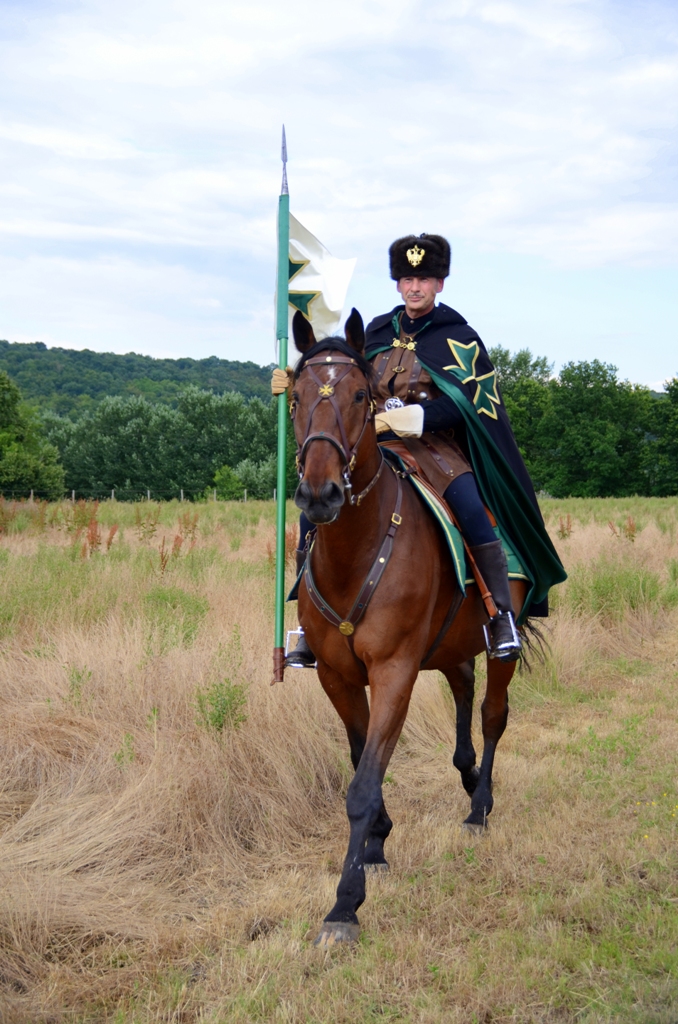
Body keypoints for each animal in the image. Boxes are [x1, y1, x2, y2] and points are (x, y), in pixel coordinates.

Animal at [288, 307, 528, 946]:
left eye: (360, 395)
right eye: (295, 397)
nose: (319, 494)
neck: (356, 551)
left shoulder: (395, 670)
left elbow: (364, 784)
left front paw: (345, 904)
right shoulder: (339, 676)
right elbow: (359, 764)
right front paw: (376, 844)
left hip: (501, 645)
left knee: (492, 714)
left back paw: (479, 807)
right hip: (448, 645)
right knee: (464, 687)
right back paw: (468, 779)